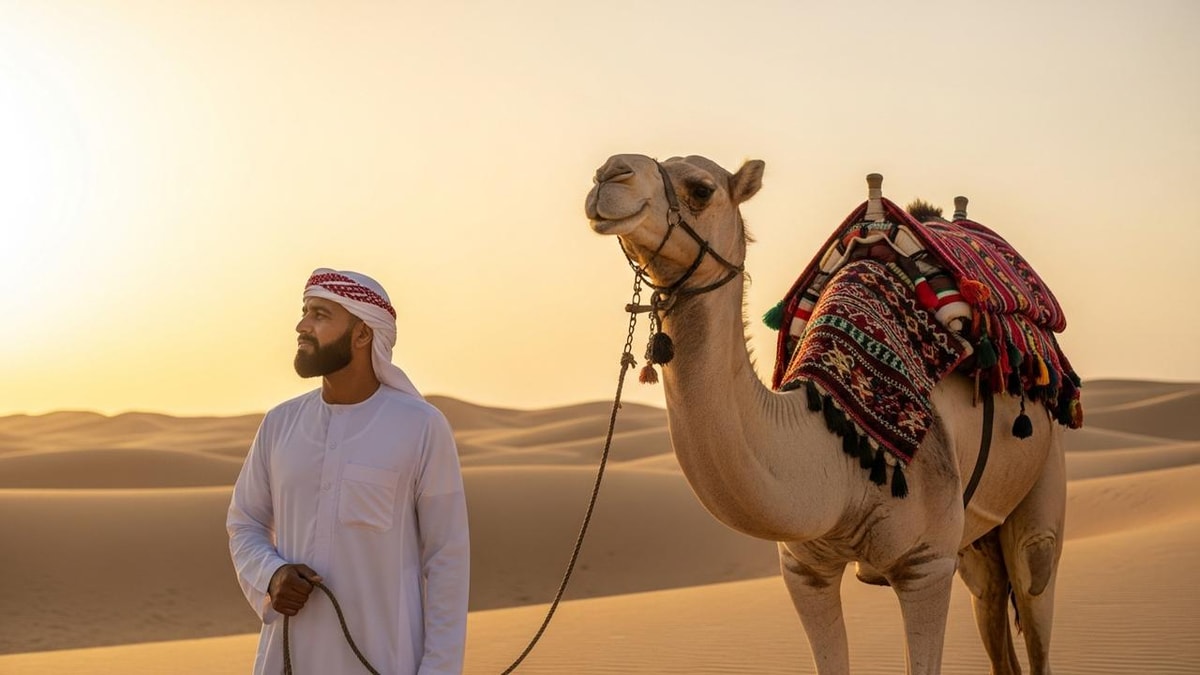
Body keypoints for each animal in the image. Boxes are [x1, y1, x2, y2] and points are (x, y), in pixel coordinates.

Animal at [584, 154, 1066, 675]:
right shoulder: (805, 570)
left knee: (1035, 579)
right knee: (992, 600)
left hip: (1039, 491)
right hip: (975, 542)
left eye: (701, 189)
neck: (840, 446)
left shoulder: (926, 564)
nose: (609, 173)